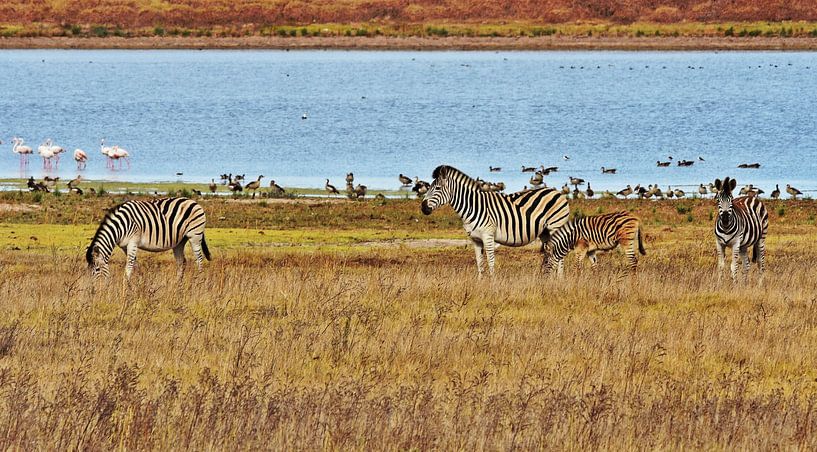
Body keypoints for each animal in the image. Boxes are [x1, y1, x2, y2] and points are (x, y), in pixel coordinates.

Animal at [420, 165, 570, 276]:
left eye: (437, 188)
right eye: (428, 187)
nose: (423, 208)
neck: (473, 206)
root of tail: (557, 192)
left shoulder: (488, 236)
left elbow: (491, 262)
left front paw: (492, 285)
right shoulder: (475, 240)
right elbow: (480, 263)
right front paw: (480, 284)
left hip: (556, 226)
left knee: (560, 254)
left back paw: (559, 279)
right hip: (545, 232)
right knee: (549, 252)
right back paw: (546, 277)